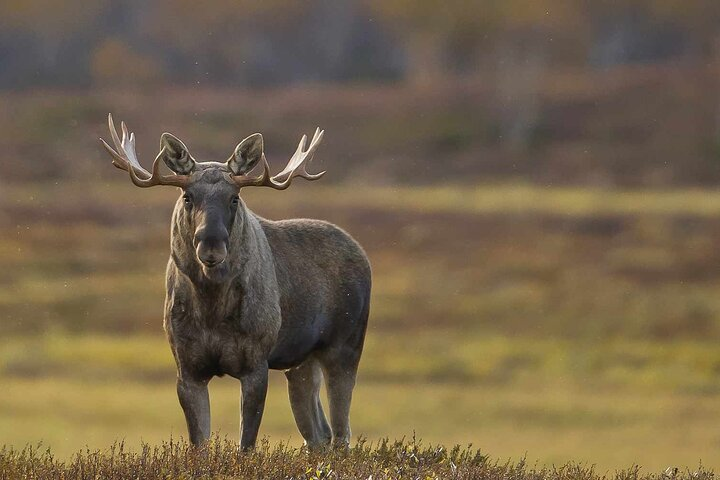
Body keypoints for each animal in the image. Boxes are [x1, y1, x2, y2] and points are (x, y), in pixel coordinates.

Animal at [100, 115, 372, 450]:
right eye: (187, 197)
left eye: (234, 198)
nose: (211, 245)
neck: (211, 308)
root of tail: (362, 254)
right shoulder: (187, 369)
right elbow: (199, 446)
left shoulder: (255, 365)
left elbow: (246, 446)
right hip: (301, 363)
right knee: (318, 435)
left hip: (345, 346)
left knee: (341, 434)